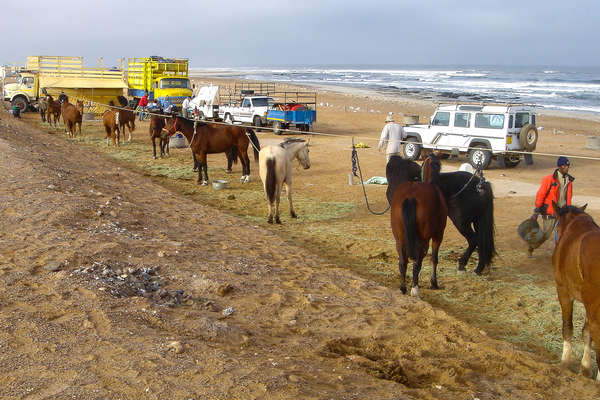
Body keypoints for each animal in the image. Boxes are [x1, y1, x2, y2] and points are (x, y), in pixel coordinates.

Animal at [390, 155, 446, 298]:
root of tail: (411, 197)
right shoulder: (438, 235)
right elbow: (434, 258)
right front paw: (434, 282)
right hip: (423, 240)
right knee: (417, 263)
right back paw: (415, 289)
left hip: (399, 238)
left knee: (403, 262)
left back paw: (403, 288)